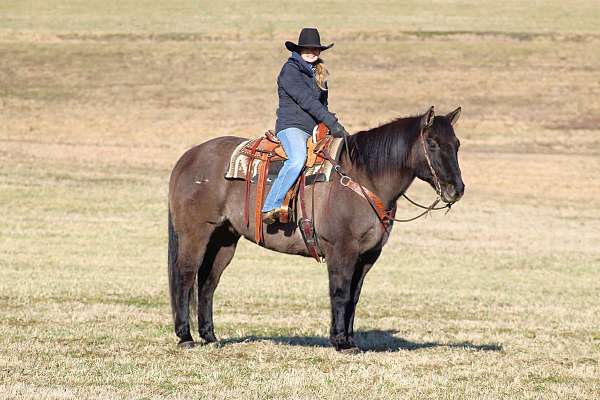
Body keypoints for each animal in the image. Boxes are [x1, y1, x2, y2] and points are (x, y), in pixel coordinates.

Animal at [168, 107, 464, 354]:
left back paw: (210, 337)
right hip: (196, 235)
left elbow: (354, 297)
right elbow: (340, 292)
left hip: (224, 239)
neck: (363, 179)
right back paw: (186, 338)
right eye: (432, 143)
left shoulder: (367, 256)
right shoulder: (341, 250)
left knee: (208, 282)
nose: (457, 189)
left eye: (457, 144)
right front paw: (341, 342)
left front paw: (349, 339)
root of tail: (188, 157)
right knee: (186, 276)